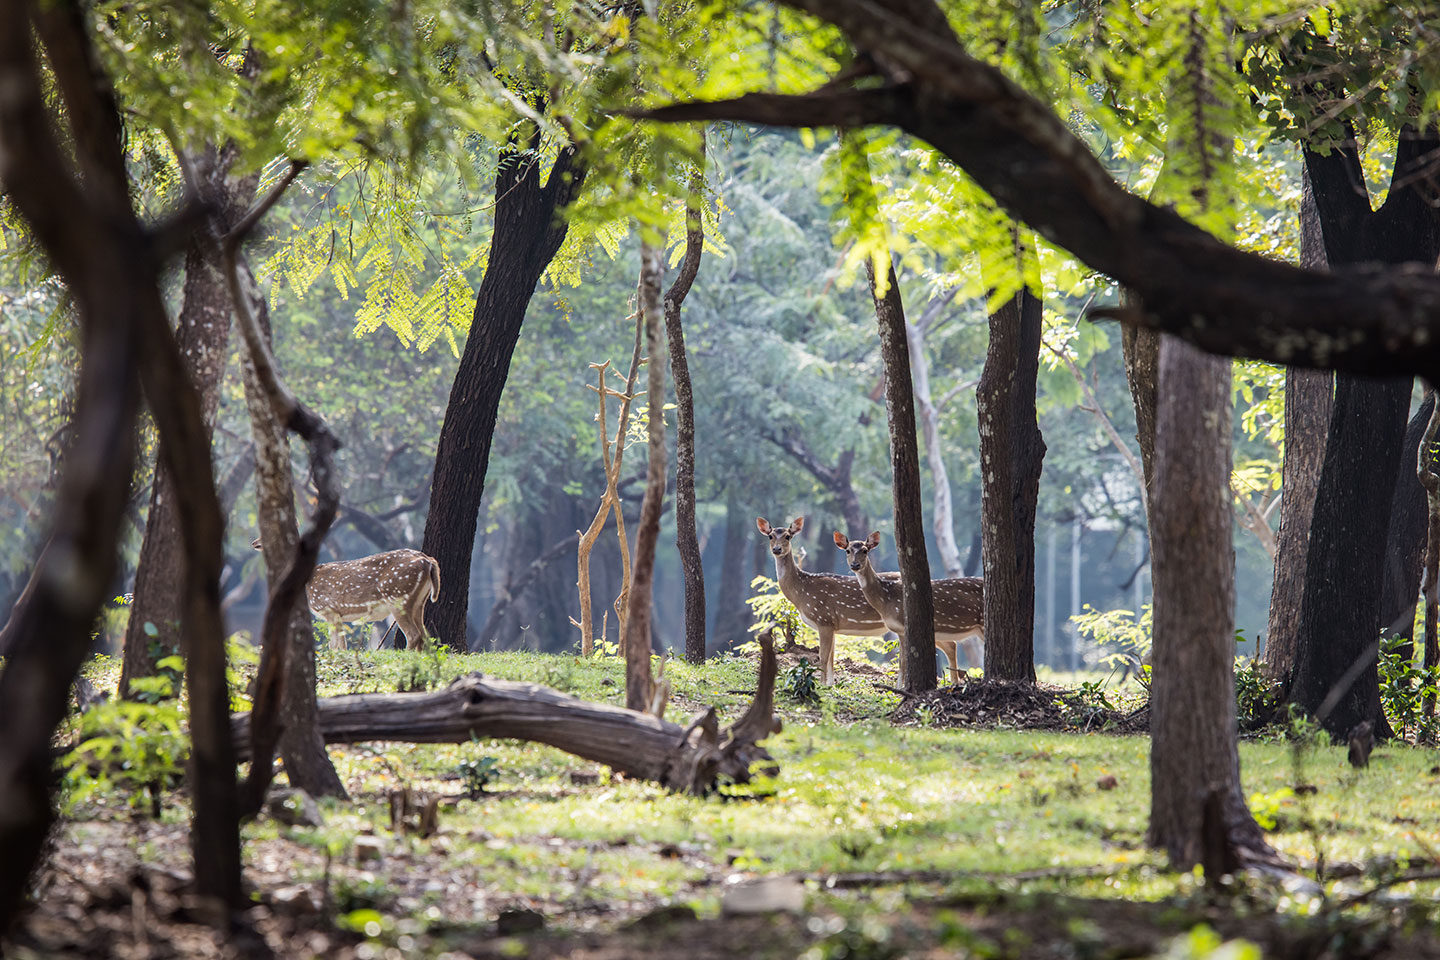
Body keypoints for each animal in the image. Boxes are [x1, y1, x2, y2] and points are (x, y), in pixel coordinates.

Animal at [251, 538, 440, 651]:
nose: (254, 543)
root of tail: (429, 561)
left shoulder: (328, 608)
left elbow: (336, 646)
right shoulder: (337, 614)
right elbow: (339, 645)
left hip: (398, 597)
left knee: (414, 635)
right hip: (419, 602)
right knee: (425, 635)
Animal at [756, 516, 895, 685]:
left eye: (788, 536)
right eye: (770, 536)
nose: (777, 549)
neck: (801, 594)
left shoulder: (824, 619)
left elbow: (823, 657)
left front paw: (822, 684)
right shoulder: (833, 624)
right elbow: (831, 659)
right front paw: (829, 684)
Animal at [833, 530, 983, 685]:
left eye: (865, 550)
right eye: (848, 550)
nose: (855, 565)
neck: (886, 599)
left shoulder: (904, 625)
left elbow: (903, 662)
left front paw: (900, 687)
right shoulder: (898, 630)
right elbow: (901, 661)